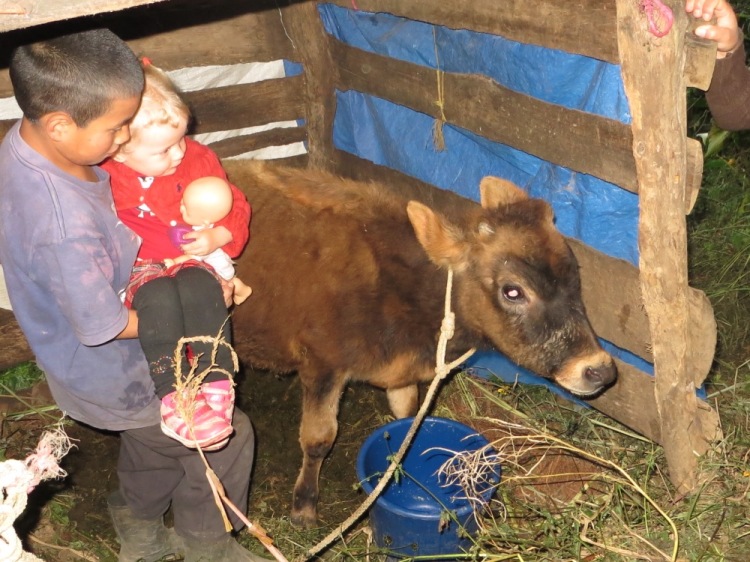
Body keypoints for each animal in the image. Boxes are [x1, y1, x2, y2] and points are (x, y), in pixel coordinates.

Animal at [228, 161, 616, 524]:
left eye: (575, 273)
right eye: (513, 291)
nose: (599, 370)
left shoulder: (402, 373)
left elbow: (407, 415)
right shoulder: (322, 363)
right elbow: (318, 438)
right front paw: (305, 505)